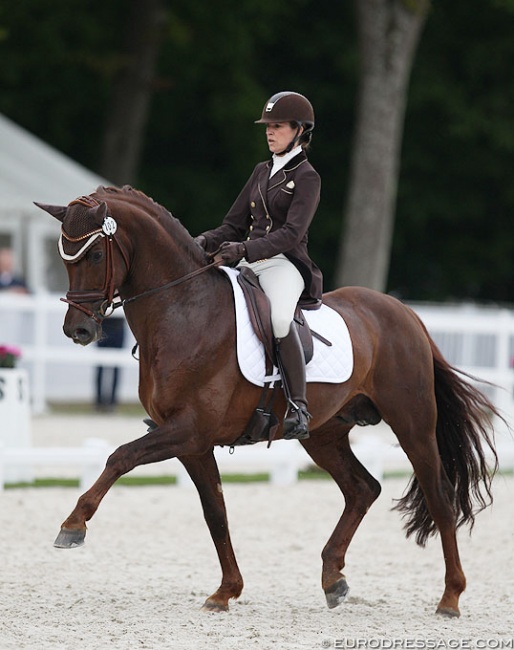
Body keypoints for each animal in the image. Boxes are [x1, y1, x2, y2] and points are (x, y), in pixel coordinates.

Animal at [35, 185, 496, 616]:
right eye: (65, 259)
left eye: (95, 255)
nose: (77, 331)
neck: (184, 310)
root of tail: (405, 313)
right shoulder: (192, 443)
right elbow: (216, 513)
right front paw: (226, 591)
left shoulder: (188, 430)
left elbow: (120, 457)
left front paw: (73, 525)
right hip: (324, 435)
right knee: (363, 488)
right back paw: (333, 579)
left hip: (413, 424)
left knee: (439, 496)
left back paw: (450, 597)